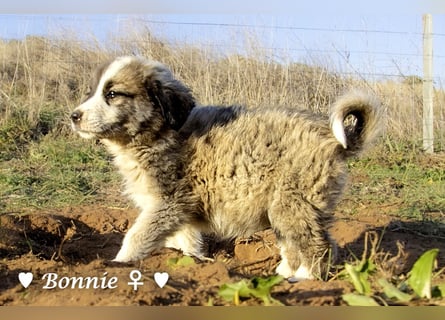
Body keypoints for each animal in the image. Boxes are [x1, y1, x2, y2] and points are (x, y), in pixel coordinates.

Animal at [71, 55, 380, 280]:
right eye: (93, 92)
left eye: (112, 94)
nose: (73, 116)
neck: (158, 133)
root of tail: (336, 140)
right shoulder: (175, 210)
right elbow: (185, 240)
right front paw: (191, 262)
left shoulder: (168, 203)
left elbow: (136, 236)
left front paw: (119, 264)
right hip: (285, 208)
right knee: (295, 244)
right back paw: (282, 275)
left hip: (294, 203)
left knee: (321, 246)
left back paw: (304, 280)